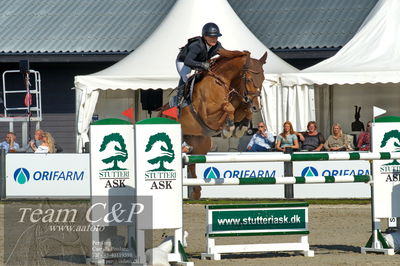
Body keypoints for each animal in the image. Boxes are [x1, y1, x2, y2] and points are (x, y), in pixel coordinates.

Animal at [162, 49, 266, 200]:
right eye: (248, 79)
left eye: (263, 79)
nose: (256, 107)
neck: (222, 81)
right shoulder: (208, 116)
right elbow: (228, 107)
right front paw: (229, 129)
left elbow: (241, 110)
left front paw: (241, 127)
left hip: (200, 143)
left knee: (192, 161)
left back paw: (196, 192)